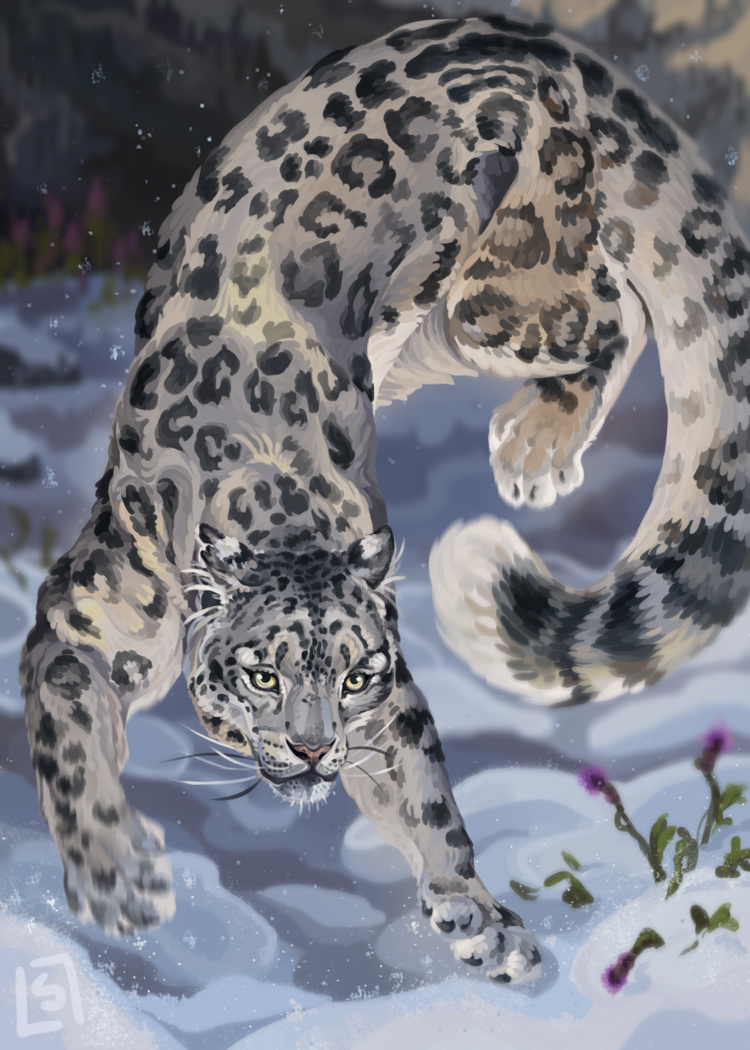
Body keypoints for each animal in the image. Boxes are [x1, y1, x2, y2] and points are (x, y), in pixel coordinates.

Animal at [19, 14, 750, 986]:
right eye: (261, 675)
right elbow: (68, 735)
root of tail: (515, 34)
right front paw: (115, 877)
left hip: (500, 301)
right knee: (617, 307)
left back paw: (536, 442)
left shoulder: (390, 691)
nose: (312, 747)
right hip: (460, 322)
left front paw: (478, 915)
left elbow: (422, 789)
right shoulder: (85, 622)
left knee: (615, 310)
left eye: (358, 674)